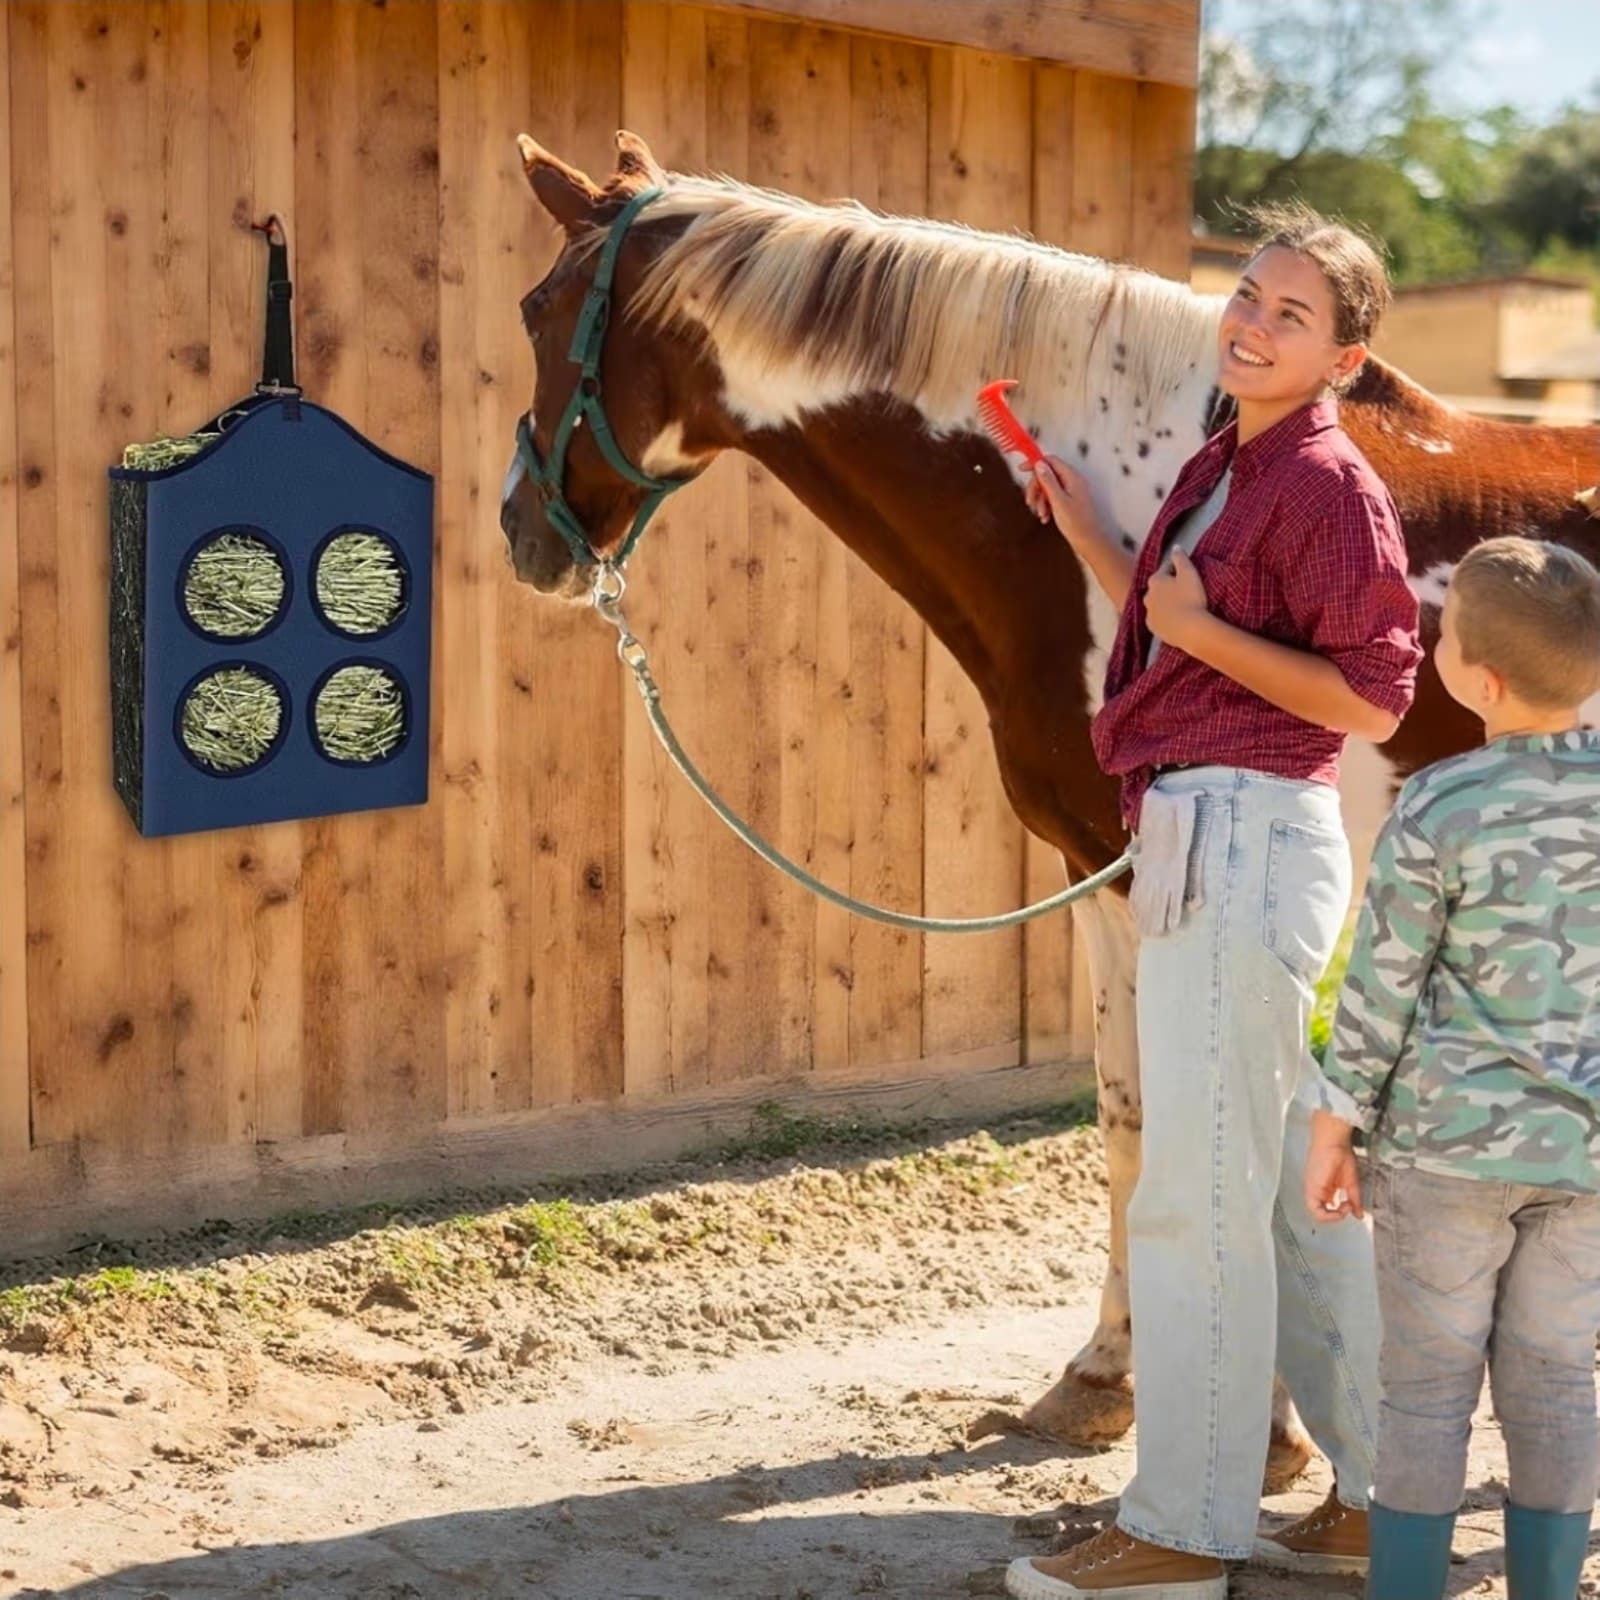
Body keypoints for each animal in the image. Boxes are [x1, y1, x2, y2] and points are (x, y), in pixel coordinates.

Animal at [500, 129, 1600, 1488]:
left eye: (539, 307)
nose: (520, 530)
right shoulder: (1107, 878)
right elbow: (1131, 1122)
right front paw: (1098, 1384)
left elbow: (1222, 1122)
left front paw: (1258, 1437)